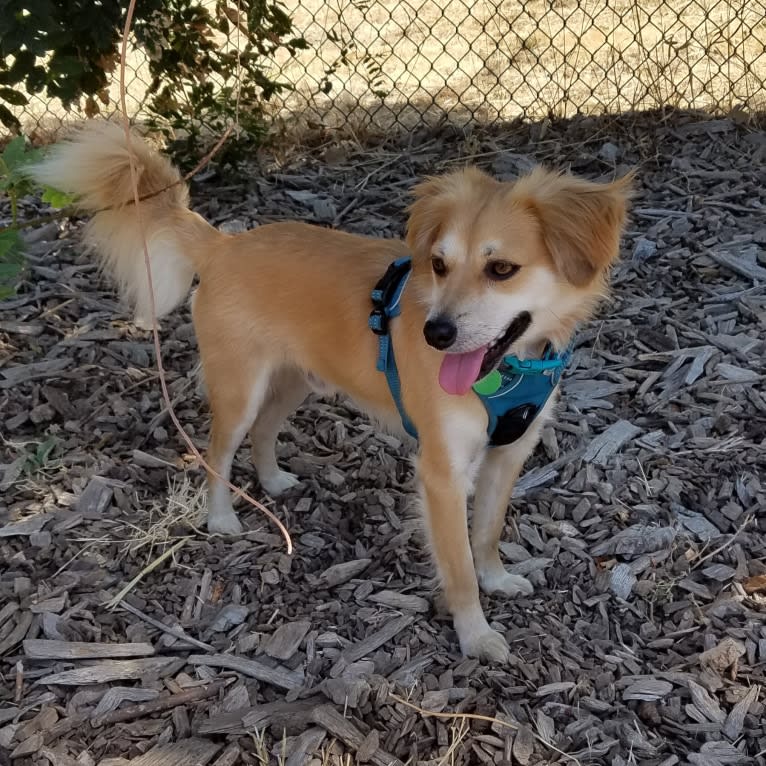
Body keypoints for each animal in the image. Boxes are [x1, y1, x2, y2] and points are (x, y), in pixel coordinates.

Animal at [30, 123, 632, 664]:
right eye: (439, 265)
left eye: (502, 268)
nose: (434, 334)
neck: (510, 366)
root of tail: (226, 244)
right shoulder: (441, 473)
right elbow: (457, 564)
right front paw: (476, 635)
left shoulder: (509, 452)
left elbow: (486, 532)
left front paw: (498, 577)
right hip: (240, 387)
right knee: (218, 451)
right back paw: (221, 519)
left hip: (295, 381)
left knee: (265, 431)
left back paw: (273, 480)